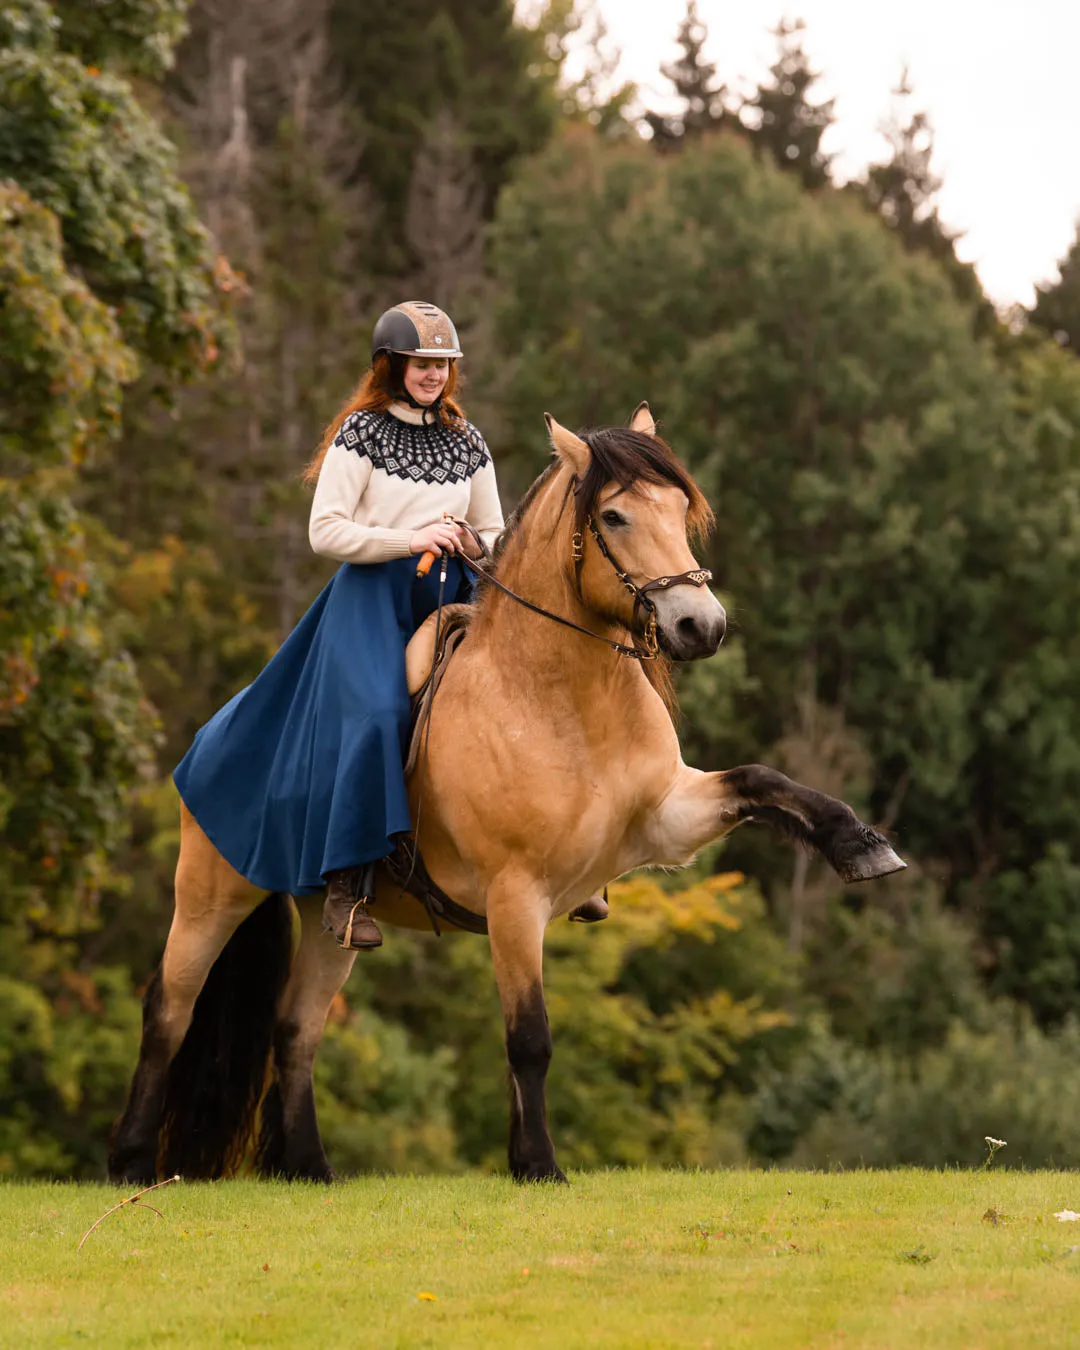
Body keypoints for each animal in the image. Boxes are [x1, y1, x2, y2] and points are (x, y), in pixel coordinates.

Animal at [109, 399, 901, 1182]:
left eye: (680, 507)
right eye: (614, 516)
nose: (699, 626)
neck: (561, 702)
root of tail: (213, 731)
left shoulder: (665, 822)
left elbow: (762, 782)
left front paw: (861, 844)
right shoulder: (516, 896)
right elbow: (529, 1038)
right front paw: (539, 1164)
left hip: (329, 921)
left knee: (295, 1029)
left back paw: (309, 1169)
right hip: (212, 897)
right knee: (167, 1013)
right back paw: (129, 1163)